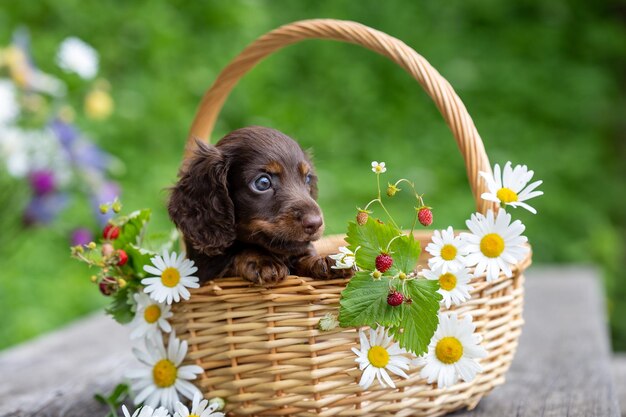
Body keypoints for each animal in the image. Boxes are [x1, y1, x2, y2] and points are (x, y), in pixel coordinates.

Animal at [167, 125, 352, 284]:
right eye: (263, 183)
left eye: (307, 178)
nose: (315, 223)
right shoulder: (205, 270)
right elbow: (240, 252)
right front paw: (262, 261)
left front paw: (325, 260)